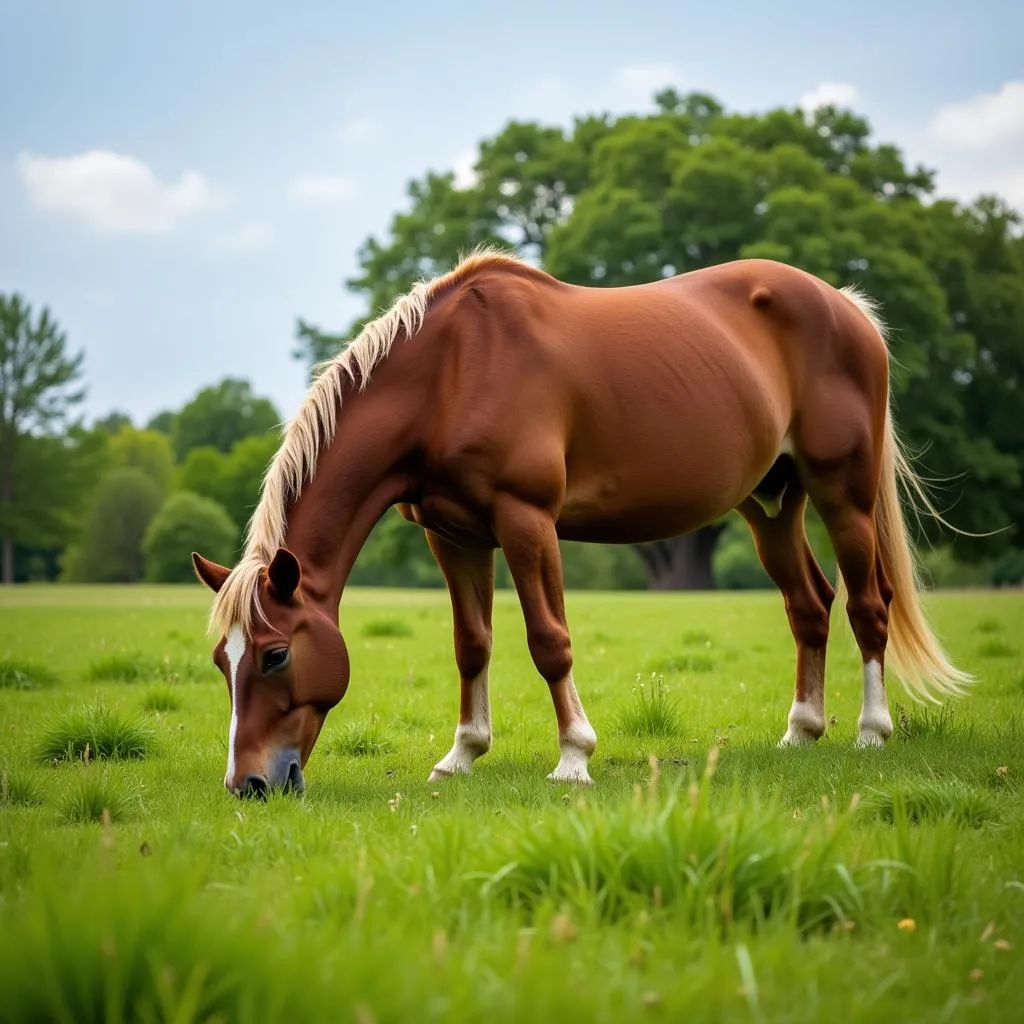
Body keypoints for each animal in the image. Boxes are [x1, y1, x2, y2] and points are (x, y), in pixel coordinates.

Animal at [190, 247, 966, 798]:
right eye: (222, 660)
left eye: (275, 654)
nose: (249, 784)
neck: (450, 371)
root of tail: (847, 307)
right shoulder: (454, 534)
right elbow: (472, 644)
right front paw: (461, 754)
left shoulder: (526, 519)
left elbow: (548, 640)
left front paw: (574, 758)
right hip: (771, 505)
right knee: (809, 605)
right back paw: (802, 732)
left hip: (843, 494)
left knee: (867, 607)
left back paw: (870, 731)